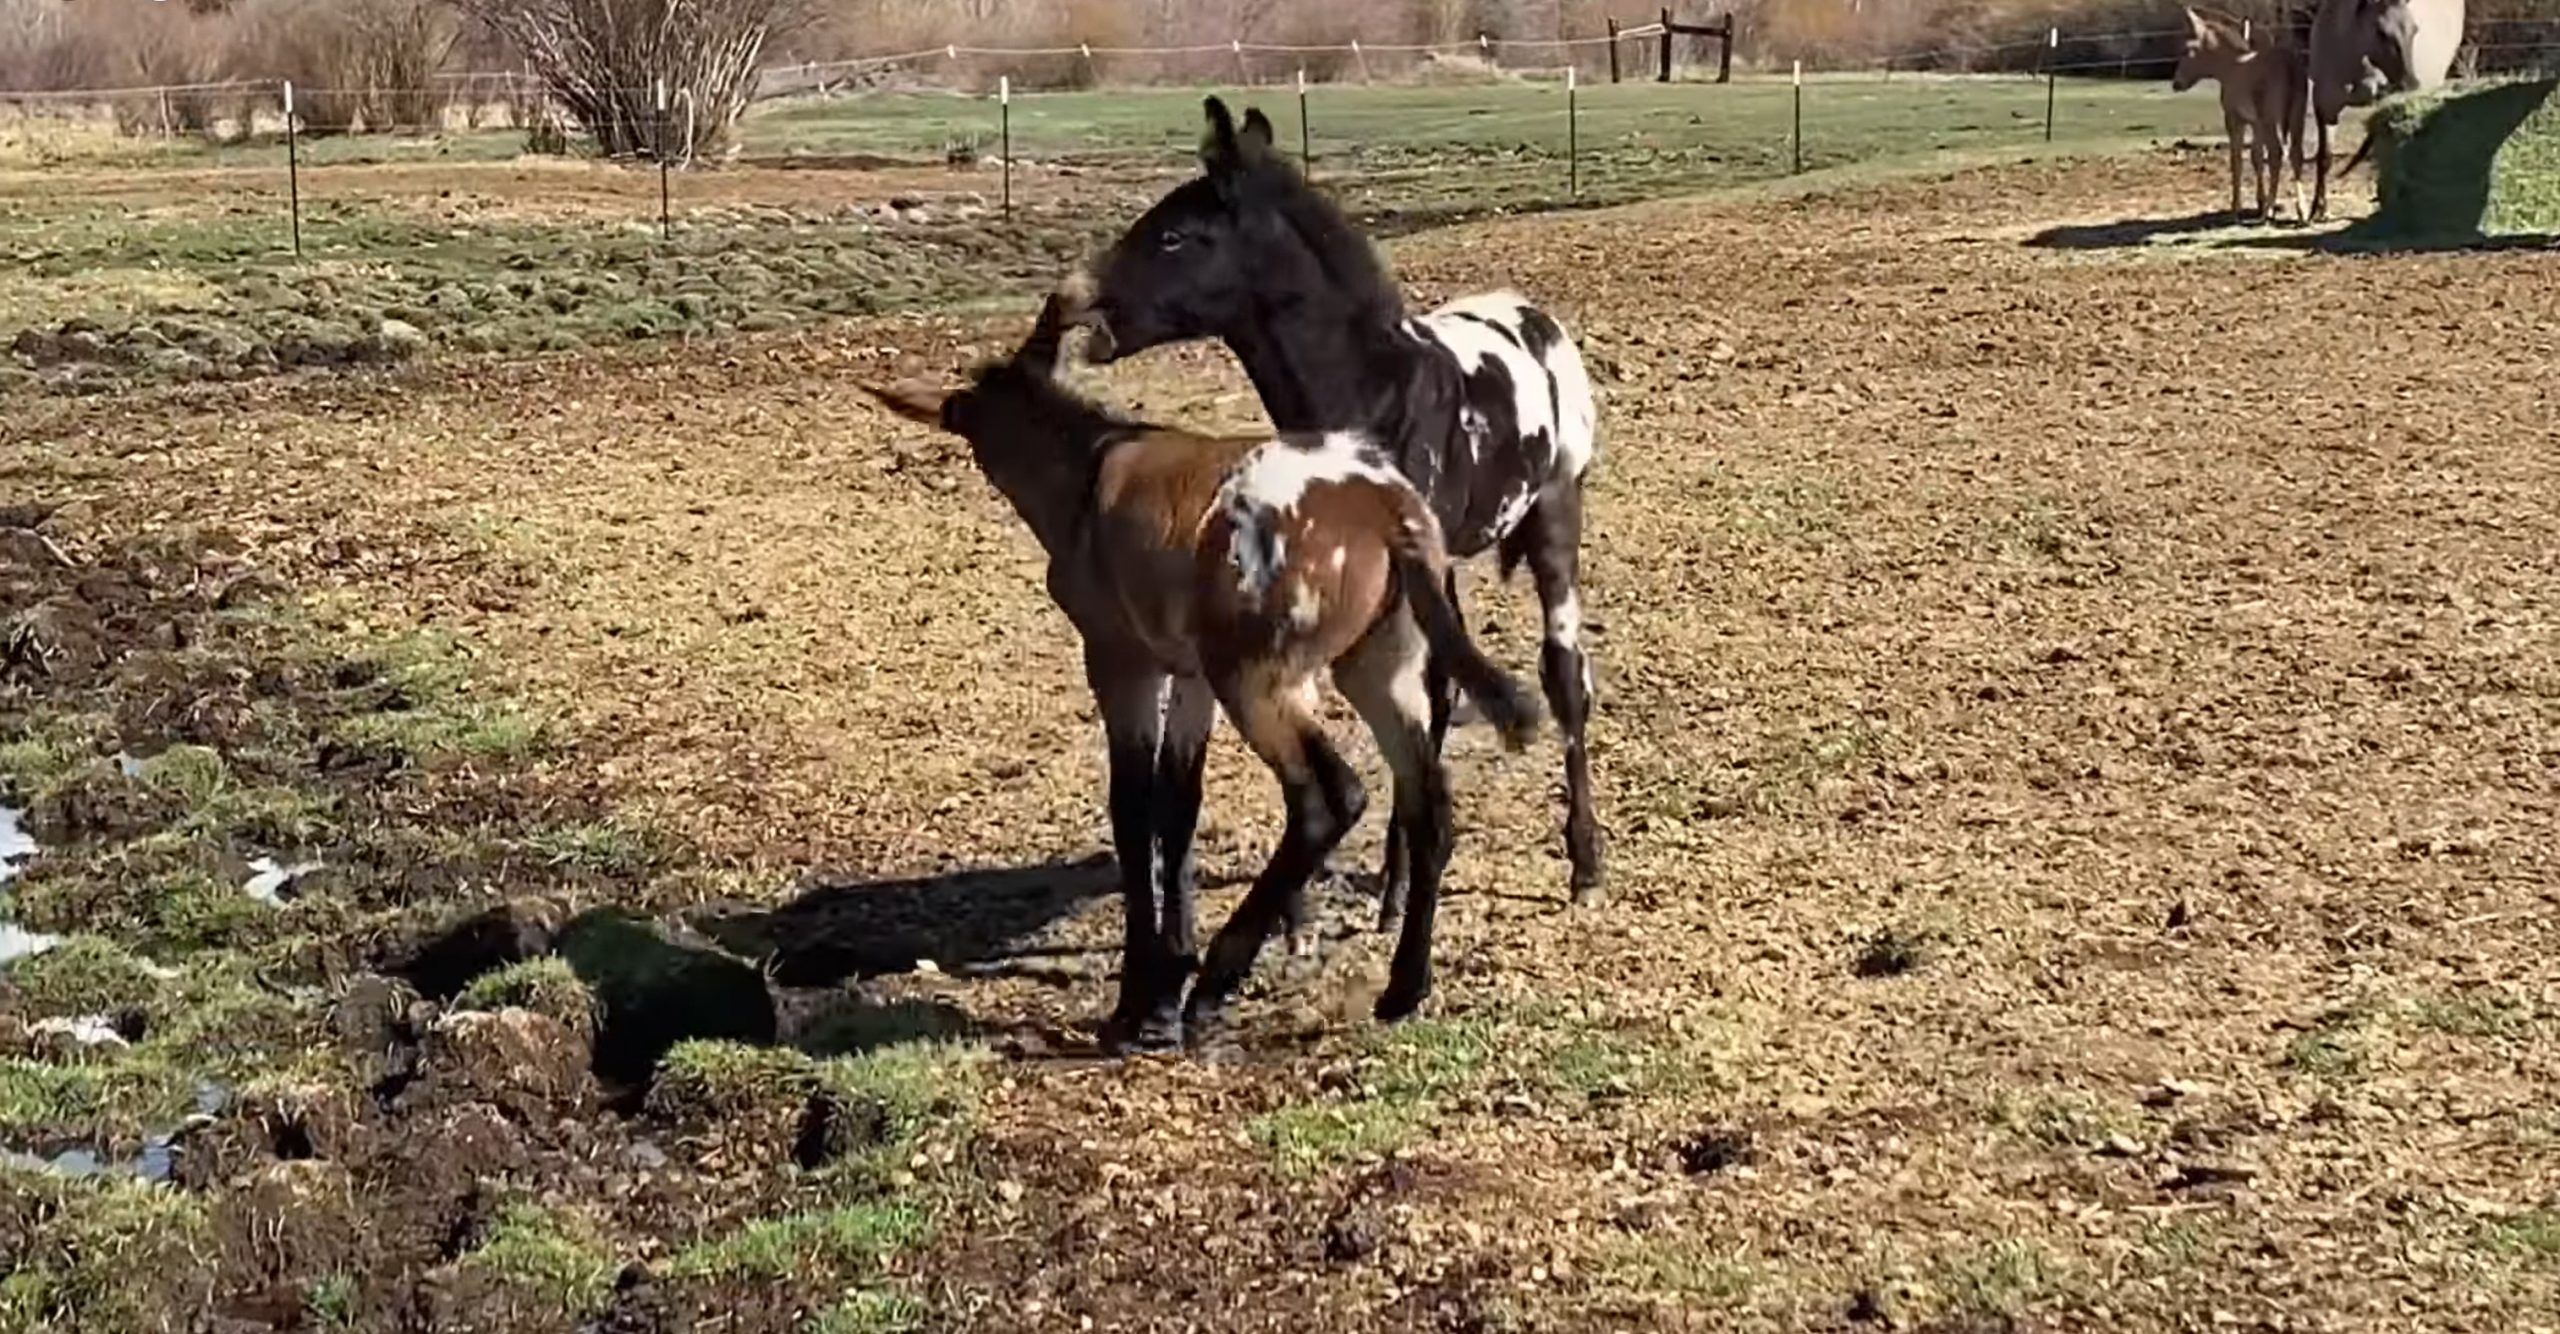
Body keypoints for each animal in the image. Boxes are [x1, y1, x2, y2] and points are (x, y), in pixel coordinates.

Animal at [1075, 96, 1597, 926]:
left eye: (1174, 235)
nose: (1090, 306)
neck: (1374, 397)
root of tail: (1535, 316)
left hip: (1554, 517)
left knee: (1563, 677)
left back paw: (1583, 861)